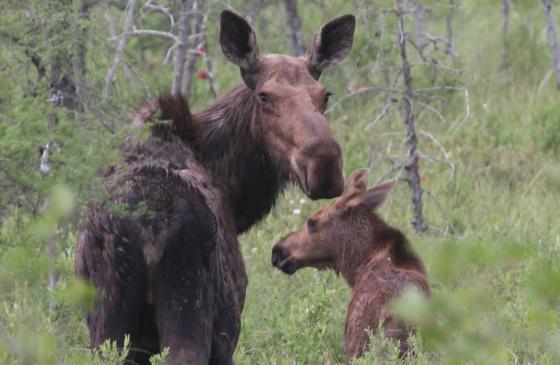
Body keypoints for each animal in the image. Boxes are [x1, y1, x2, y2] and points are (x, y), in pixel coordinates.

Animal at [74, 9, 354, 364]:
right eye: (264, 95)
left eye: (324, 95)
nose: (324, 165)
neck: (233, 189)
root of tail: (149, 227)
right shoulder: (226, 330)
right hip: (190, 312)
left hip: (107, 324)